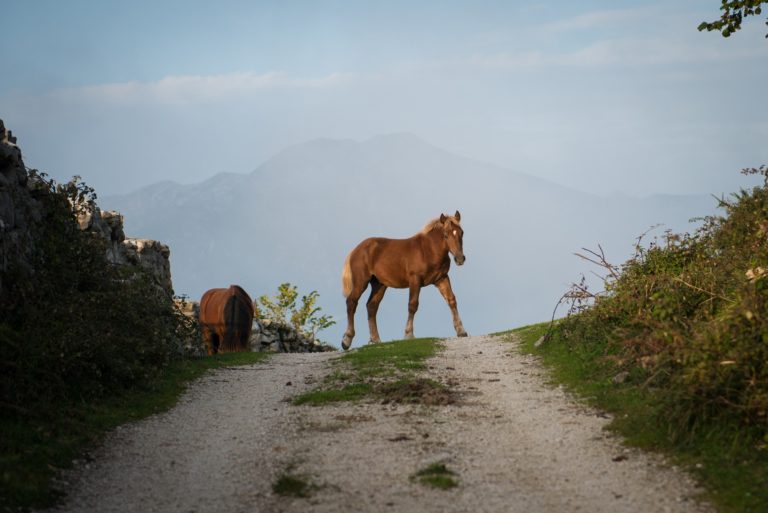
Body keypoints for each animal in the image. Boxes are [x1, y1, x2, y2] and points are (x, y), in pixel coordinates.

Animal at [340, 210, 468, 350]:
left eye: (462, 232)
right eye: (445, 235)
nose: (460, 259)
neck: (428, 250)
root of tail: (355, 250)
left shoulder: (442, 278)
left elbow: (451, 300)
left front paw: (461, 331)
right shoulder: (415, 280)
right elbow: (413, 305)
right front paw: (409, 334)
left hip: (379, 285)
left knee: (371, 306)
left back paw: (376, 339)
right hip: (361, 282)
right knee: (351, 302)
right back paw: (346, 340)